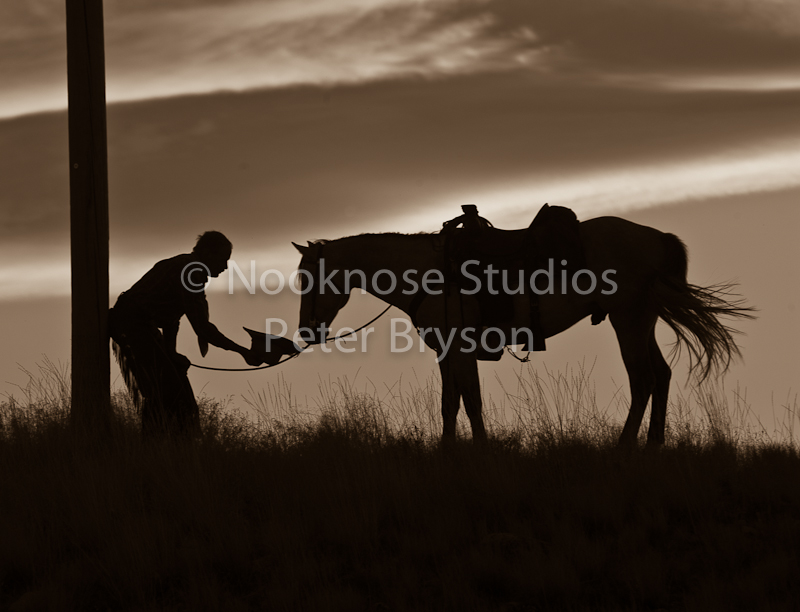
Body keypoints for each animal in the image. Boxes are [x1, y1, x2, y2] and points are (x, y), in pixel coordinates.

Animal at [290, 205, 754, 447]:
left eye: (307, 278)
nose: (308, 332)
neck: (427, 273)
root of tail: (657, 237)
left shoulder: (458, 346)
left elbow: (468, 400)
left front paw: (476, 449)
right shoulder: (447, 350)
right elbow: (452, 401)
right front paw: (451, 449)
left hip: (628, 320)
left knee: (643, 380)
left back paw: (625, 446)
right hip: (643, 320)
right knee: (661, 375)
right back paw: (653, 443)